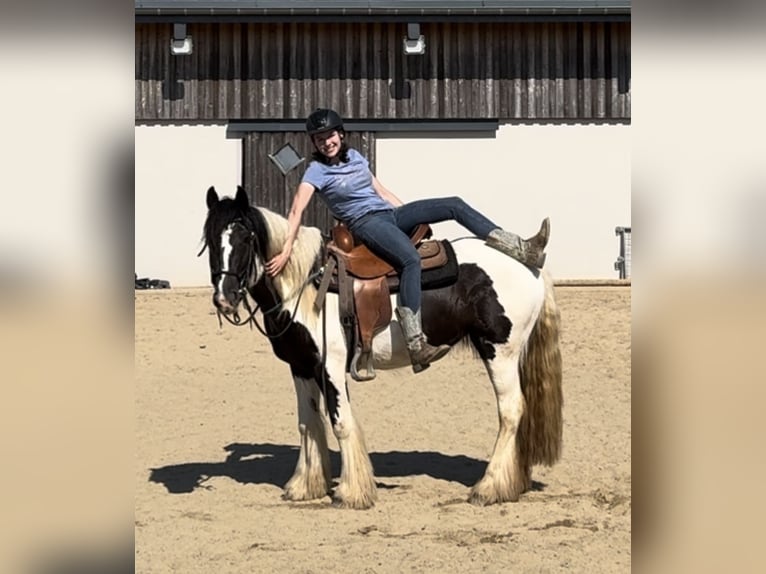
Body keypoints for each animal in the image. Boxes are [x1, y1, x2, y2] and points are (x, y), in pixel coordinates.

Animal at [201, 187, 568, 510]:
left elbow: (340, 423)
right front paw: (305, 486)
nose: (224, 298)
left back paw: (488, 488)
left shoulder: (331, 367)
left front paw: (351, 493)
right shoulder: (301, 366)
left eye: (246, 238)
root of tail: (531, 267)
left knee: (511, 411)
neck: (305, 284)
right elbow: (308, 423)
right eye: (209, 241)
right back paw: (512, 484)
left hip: (500, 352)